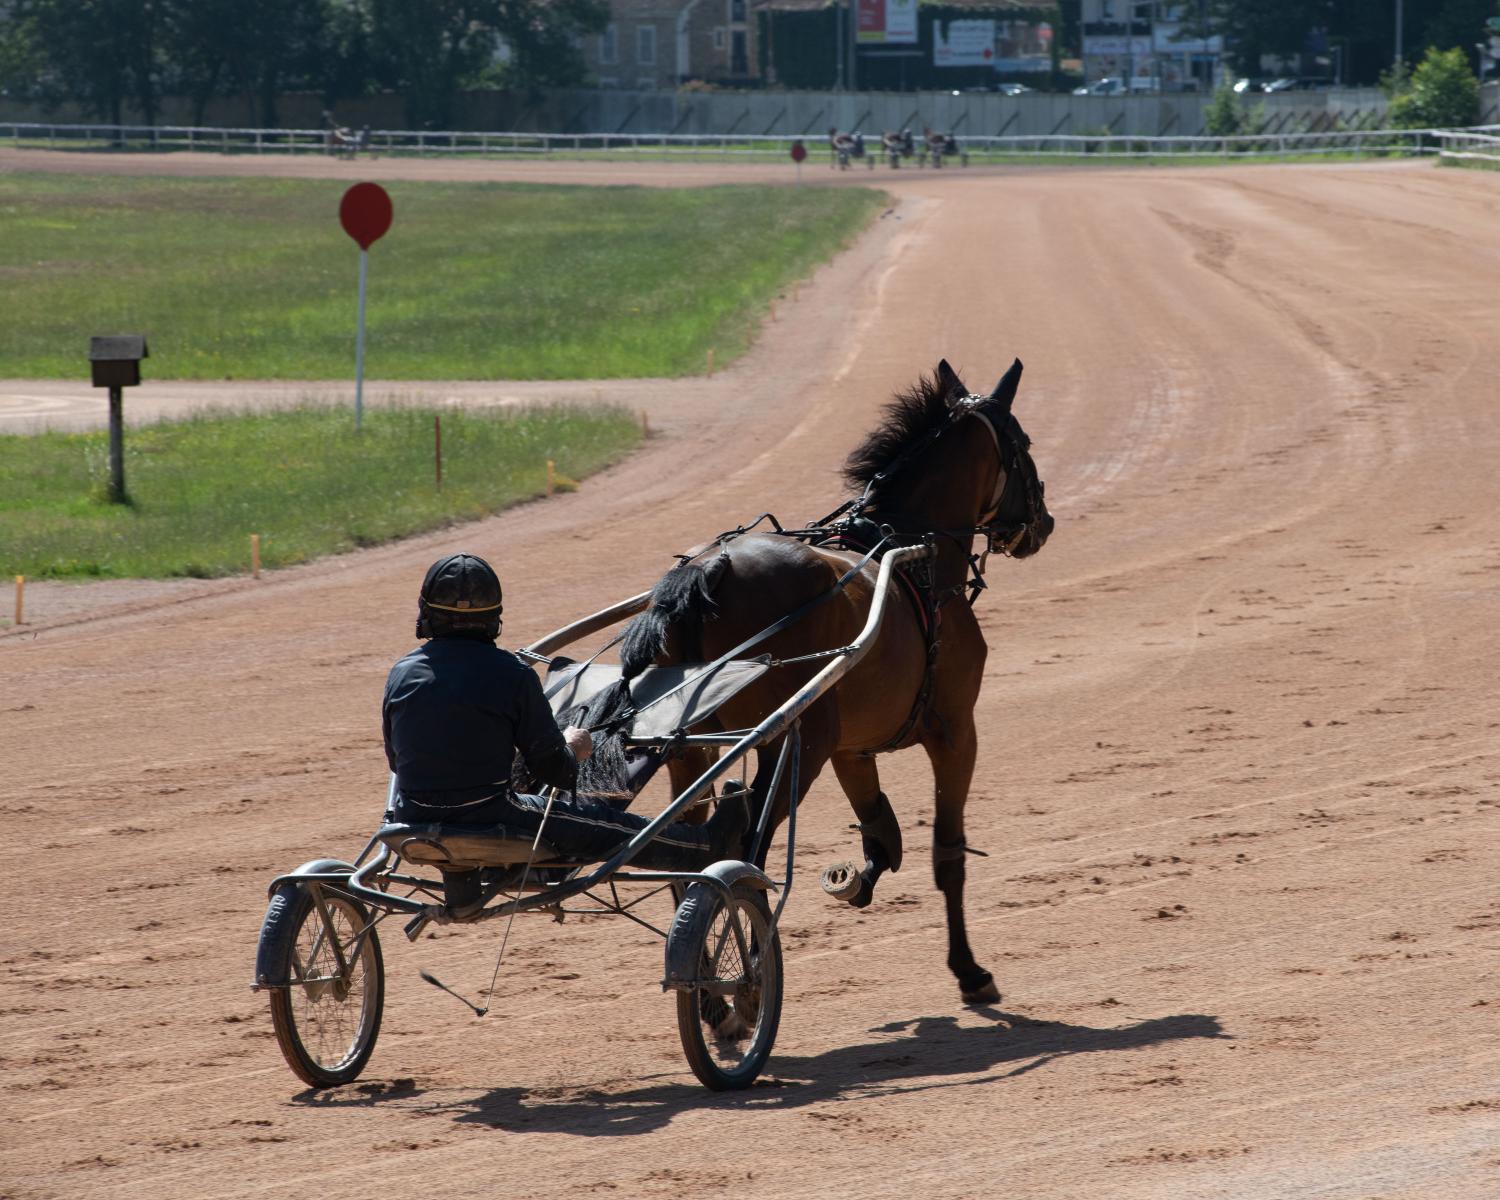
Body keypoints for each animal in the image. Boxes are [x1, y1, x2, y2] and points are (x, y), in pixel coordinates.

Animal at [615, 358, 1050, 1002]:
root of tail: (710, 569)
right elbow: (947, 853)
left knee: (689, 852)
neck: (910, 548)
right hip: (794, 740)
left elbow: (882, 832)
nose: (1044, 523)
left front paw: (856, 878)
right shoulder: (954, 731)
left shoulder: (852, 747)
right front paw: (970, 970)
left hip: (696, 749)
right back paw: (742, 981)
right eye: (1024, 443)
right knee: (743, 848)